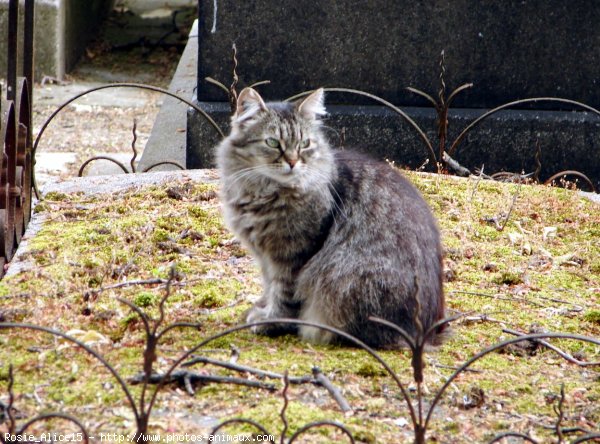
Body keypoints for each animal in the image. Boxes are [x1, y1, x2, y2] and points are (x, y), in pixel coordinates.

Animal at [216, 88, 446, 348]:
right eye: (273, 143)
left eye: (304, 144)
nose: (293, 162)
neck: (263, 193)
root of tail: (426, 334)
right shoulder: (265, 256)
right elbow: (269, 286)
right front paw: (260, 308)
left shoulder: (292, 254)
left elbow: (283, 294)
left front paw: (271, 321)